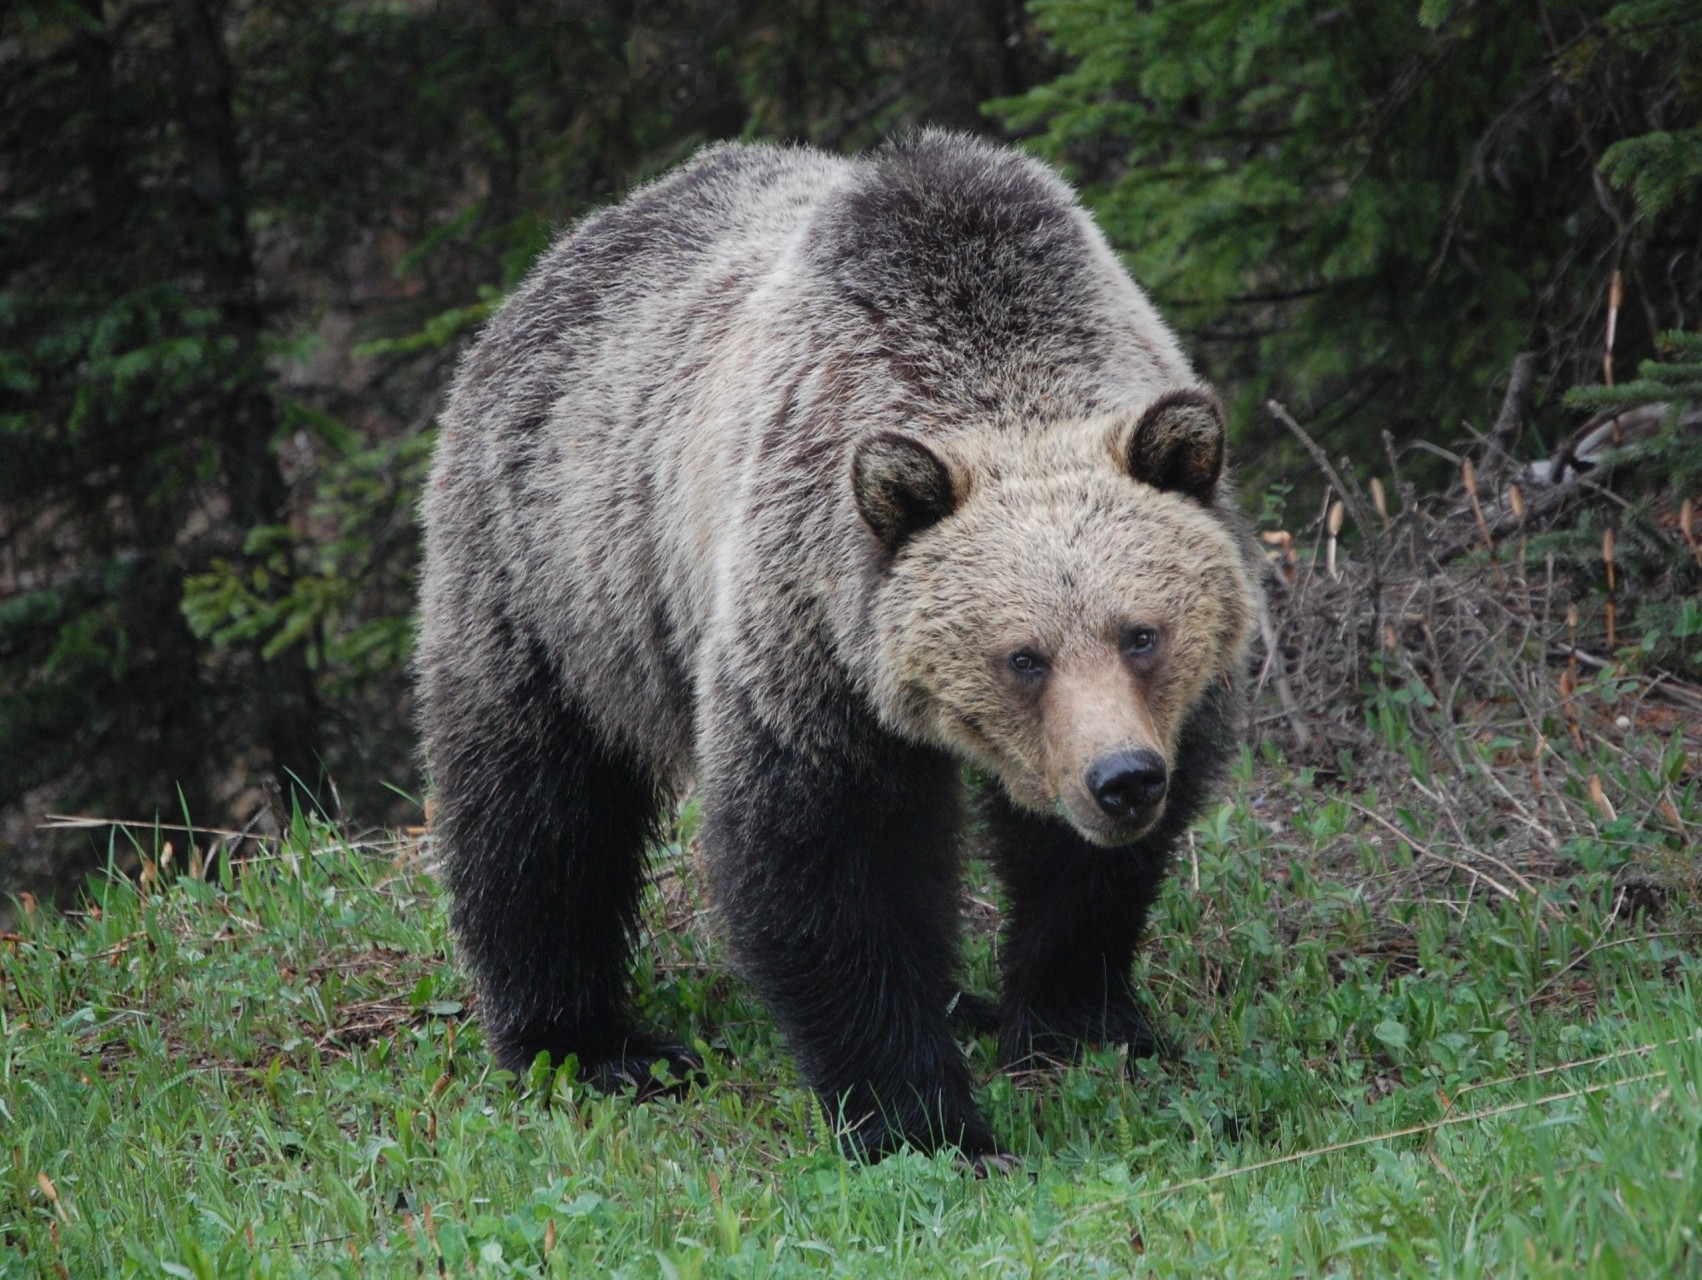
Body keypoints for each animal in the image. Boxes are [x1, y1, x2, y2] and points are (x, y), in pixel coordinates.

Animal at [418, 132, 1259, 1171]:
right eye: (1022, 656)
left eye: (1142, 633)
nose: (1122, 780)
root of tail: (562, 252)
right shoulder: (809, 637)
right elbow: (829, 860)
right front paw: (926, 1120)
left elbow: (1084, 874)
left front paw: (1080, 1021)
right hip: (555, 574)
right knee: (540, 810)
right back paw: (590, 1041)